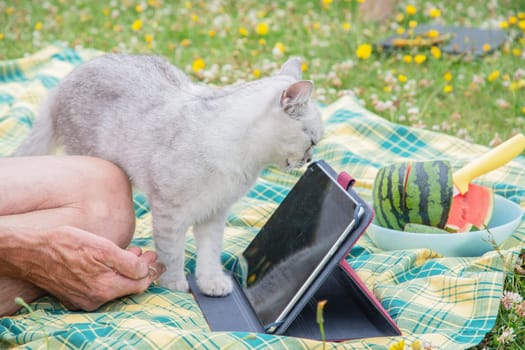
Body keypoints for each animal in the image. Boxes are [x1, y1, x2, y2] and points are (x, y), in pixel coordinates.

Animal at [13, 54, 324, 296]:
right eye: (312, 141)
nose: (309, 159)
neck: (243, 157)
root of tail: (63, 81)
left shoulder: (215, 213)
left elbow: (209, 254)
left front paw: (211, 283)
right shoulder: (169, 211)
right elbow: (172, 251)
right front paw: (174, 283)